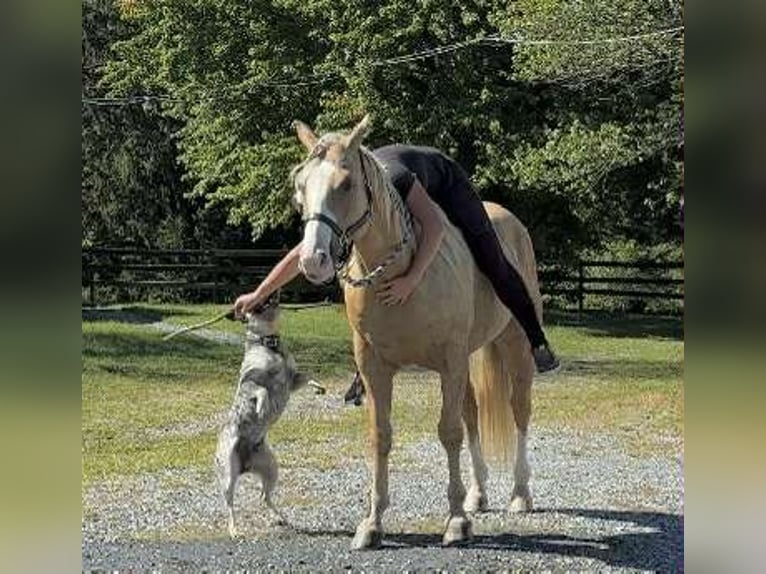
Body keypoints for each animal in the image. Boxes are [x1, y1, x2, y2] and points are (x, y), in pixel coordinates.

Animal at [290, 116, 540, 549]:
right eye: (301, 185)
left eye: (346, 184)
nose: (312, 260)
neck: (397, 268)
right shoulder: (375, 367)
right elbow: (381, 435)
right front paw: (372, 523)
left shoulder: (450, 360)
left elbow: (449, 432)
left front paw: (455, 522)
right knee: (472, 413)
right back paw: (478, 495)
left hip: (514, 346)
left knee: (519, 409)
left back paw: (519, 495)